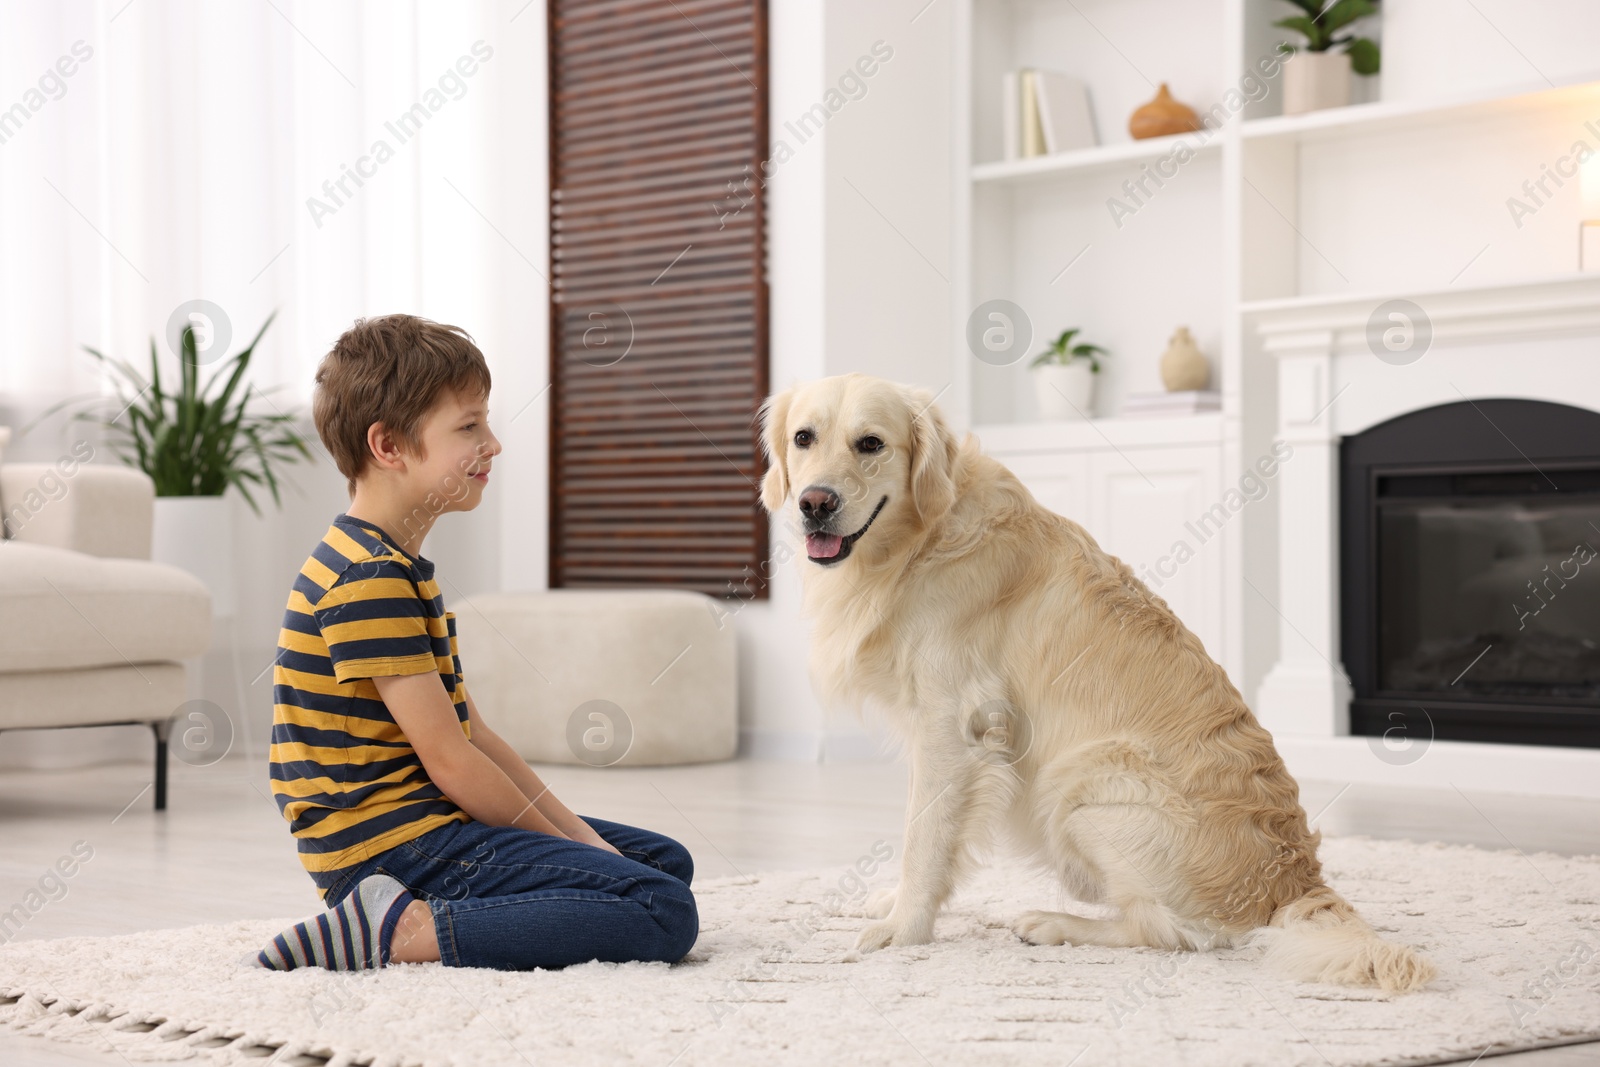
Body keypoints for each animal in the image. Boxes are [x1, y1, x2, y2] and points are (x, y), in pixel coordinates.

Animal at [758, 374, 1440, 991]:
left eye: (871, 443)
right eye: (803, 438)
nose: (814, 502)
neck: (921, 539)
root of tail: (1296, 883)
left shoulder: (952, 727)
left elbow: (923, 835)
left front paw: (904, 929)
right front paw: (892, 902)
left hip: (1080, 784)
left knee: (1174, 934)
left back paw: (1053, 923)